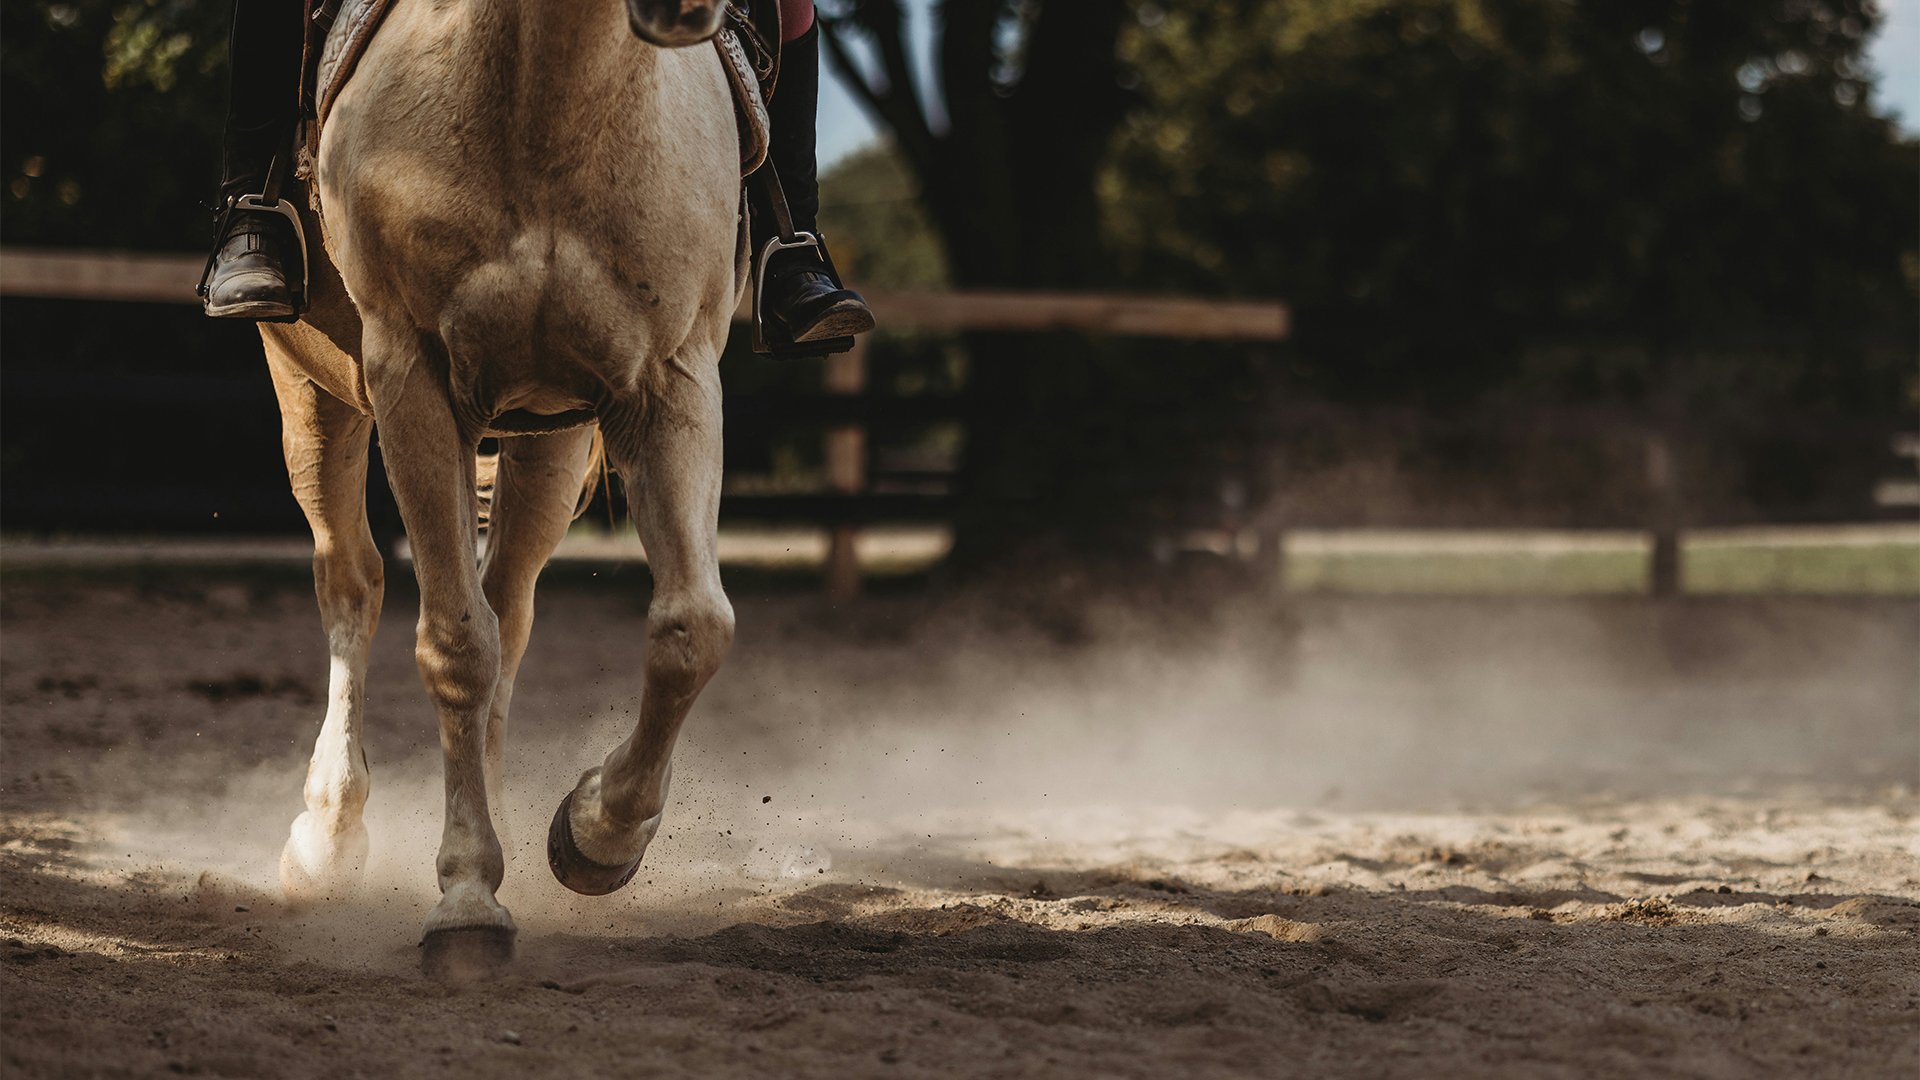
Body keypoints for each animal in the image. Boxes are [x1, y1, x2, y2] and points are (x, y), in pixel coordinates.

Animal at [257, 0, 741, 978]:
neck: (548, 99)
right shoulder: (409, 377)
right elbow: (454, 644)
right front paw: (468, 899)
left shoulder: (671, 379)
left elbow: (692, 629)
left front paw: (596, 833)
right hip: (312, 390)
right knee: (352, 583)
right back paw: (326, 840)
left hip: (548, 443)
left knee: (508, 608)